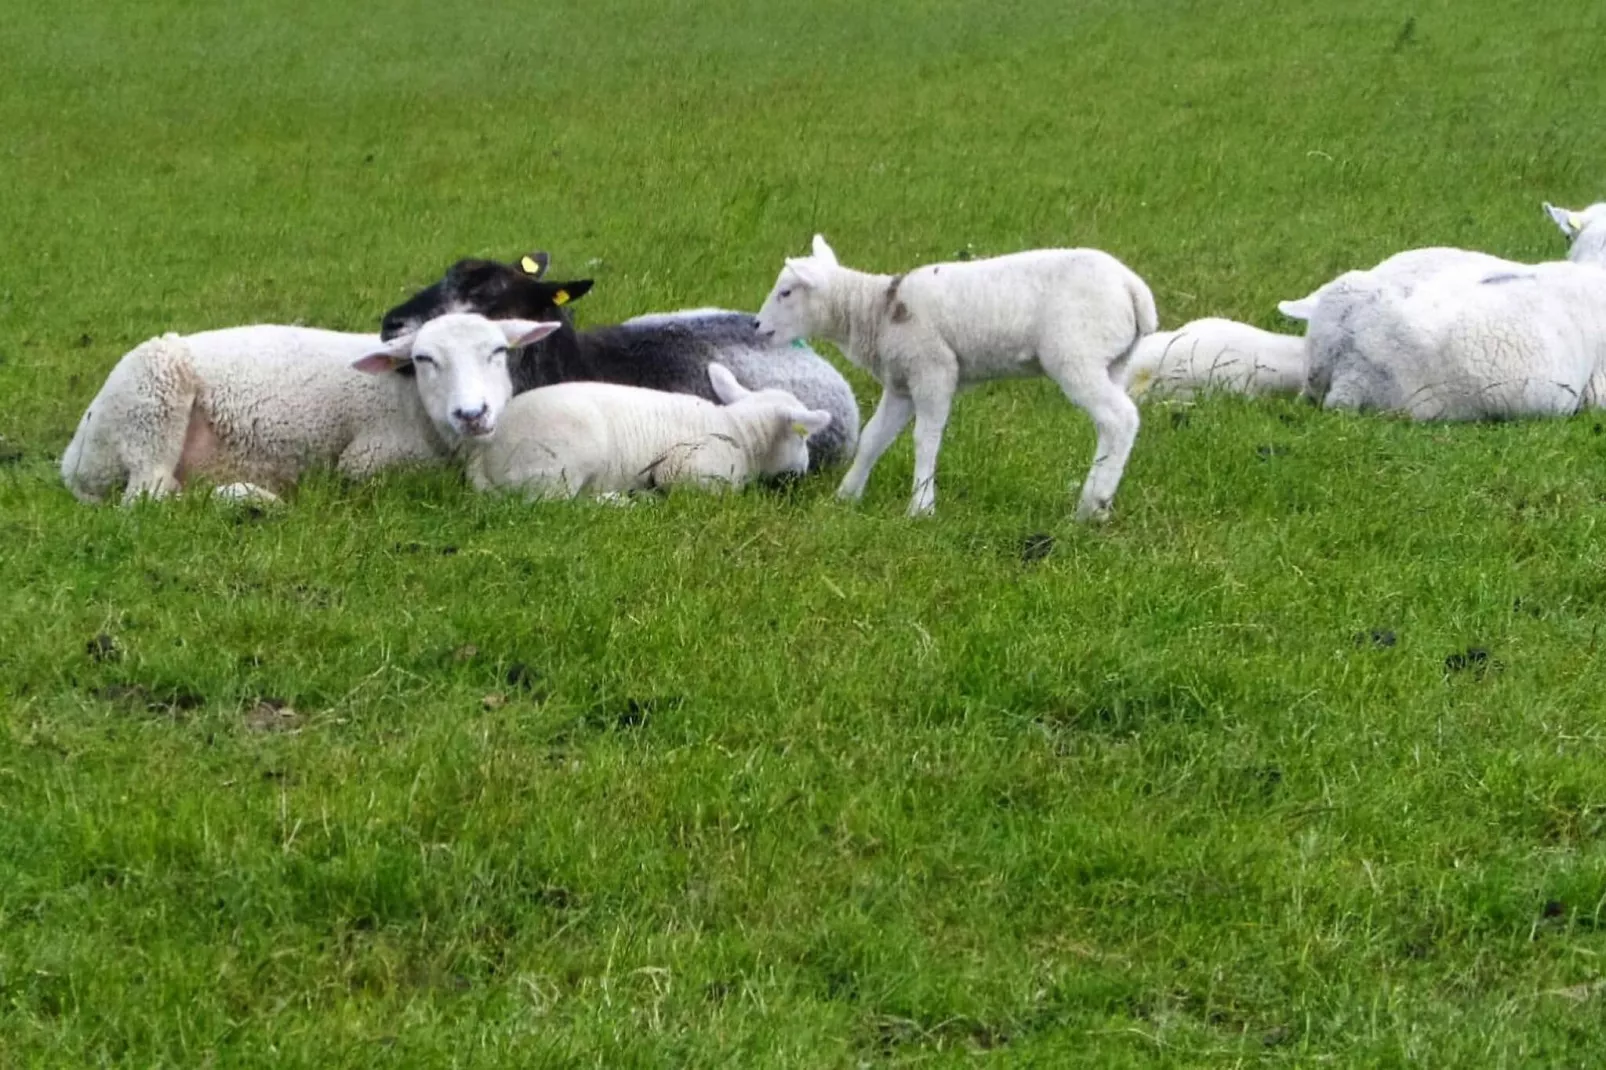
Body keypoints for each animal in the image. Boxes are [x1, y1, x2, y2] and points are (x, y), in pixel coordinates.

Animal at [61, 313, 558, 504]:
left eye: (498, 351)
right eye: (423, 359)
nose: (471, 414)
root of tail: (71, 462)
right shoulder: (367, 457)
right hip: (152, 405)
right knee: (149, 496)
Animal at [465, 359, 835, 498]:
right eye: (803, 438)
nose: (803, 471)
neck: (738, 433)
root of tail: (483, 451)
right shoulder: (686, 470)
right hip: (558, 465)